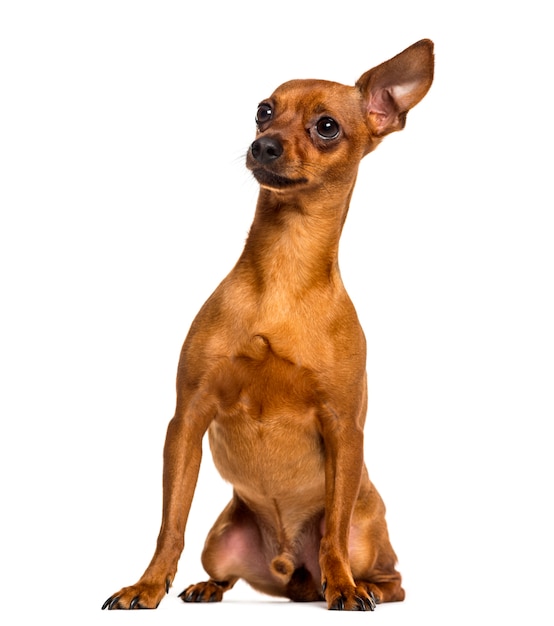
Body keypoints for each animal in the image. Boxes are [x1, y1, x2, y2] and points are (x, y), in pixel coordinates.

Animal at [102, 39, 432, 608]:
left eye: (327, 127)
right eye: (263, 111)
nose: (264, 146)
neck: (284, 266)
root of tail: (291, 569)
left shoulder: (344, 430)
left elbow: (333, 530)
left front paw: (343, 587)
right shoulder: (186, 419)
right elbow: (171, 523)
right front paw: (146, 585)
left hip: (368, 529)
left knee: (387, 573)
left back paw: (360, 584)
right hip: (220, 541)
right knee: (225, 567)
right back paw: (208, 586)